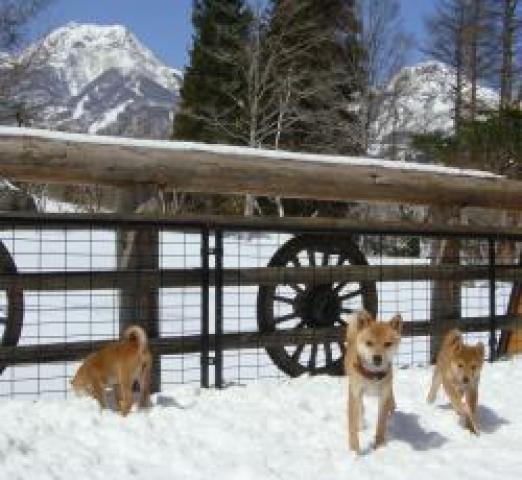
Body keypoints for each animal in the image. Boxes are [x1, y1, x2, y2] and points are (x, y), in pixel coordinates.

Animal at [344, 310, 400, 452]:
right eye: (369, 343)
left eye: (387, 344)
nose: (377, 358)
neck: (373, 375)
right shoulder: (354, 393)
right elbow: (352, 425)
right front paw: (355, 451)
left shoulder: (384, 395)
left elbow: (381, 423)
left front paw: (379, 446)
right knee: (361, 409)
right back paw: (361, 425)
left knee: (391, 403)